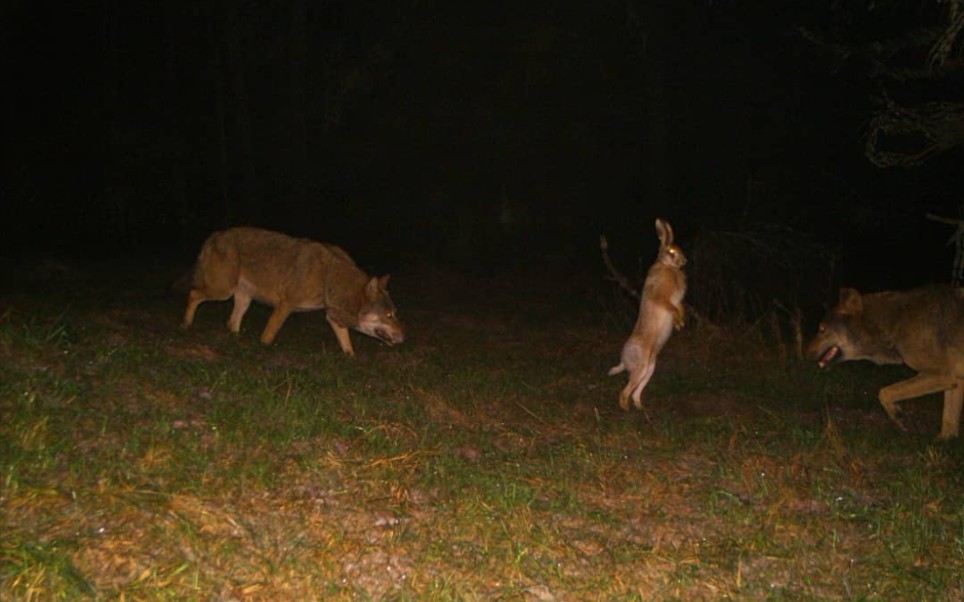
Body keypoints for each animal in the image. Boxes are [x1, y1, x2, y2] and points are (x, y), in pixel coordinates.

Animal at [183, 227, 404, 354]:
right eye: (388, 315)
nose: (405, 337)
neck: (329, 277)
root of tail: (214, 236)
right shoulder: (285, 305)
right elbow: (269, 334)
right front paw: (262, 349)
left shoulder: (333, 318)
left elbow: (348, 347)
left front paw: (352, 361)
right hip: (223, 291)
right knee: (193, 293)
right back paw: (186, 324)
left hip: (244, 299)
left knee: (232, 322)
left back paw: (236, 340)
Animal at [608, 218, 688, 410]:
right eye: (671, 251)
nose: (684, 261)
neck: (667, 265)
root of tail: (624, 360)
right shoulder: (661, 298)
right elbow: (672, 307)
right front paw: (679, 323)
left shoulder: (677, 300)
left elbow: (680, 307)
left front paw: (680, 323)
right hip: (641, 365)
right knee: (625, 391)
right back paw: (626, 409)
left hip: (649, 368)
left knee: (635, 391)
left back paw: (639, 408)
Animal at [804, 284, 964, 438]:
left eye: (822, 329)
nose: (805, 353)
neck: (896, 323)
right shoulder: (956, 380)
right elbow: (949, 423)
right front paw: (944, 441)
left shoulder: (942, 375)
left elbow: (884, 392)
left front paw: (898, 415)